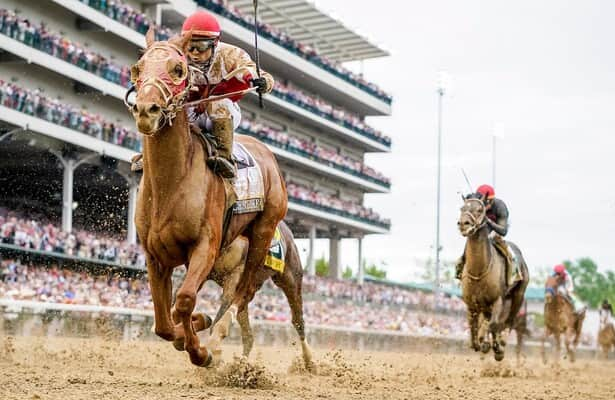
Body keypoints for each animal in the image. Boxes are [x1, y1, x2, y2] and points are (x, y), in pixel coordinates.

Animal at [131, 31, 288, 368]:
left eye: (178, 69)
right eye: (137, 68)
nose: (146, 110)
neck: (171, 184)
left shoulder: (205, 245)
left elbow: (184, 300)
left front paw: (200, 352)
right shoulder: (155, 255)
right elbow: (163, 323)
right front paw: (186, 332)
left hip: (263, 231)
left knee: (241, 292)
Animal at [458, 195, 528, 360]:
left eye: (479, 210)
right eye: (462, 208)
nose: (463, 223)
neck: (479, 271)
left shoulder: (498, 300)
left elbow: (493, 325)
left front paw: (491, 345)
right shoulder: (472, 304)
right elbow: (473, 331)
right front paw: (480, 342)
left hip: (518, 295)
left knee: (508, 321)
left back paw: (501, 344)